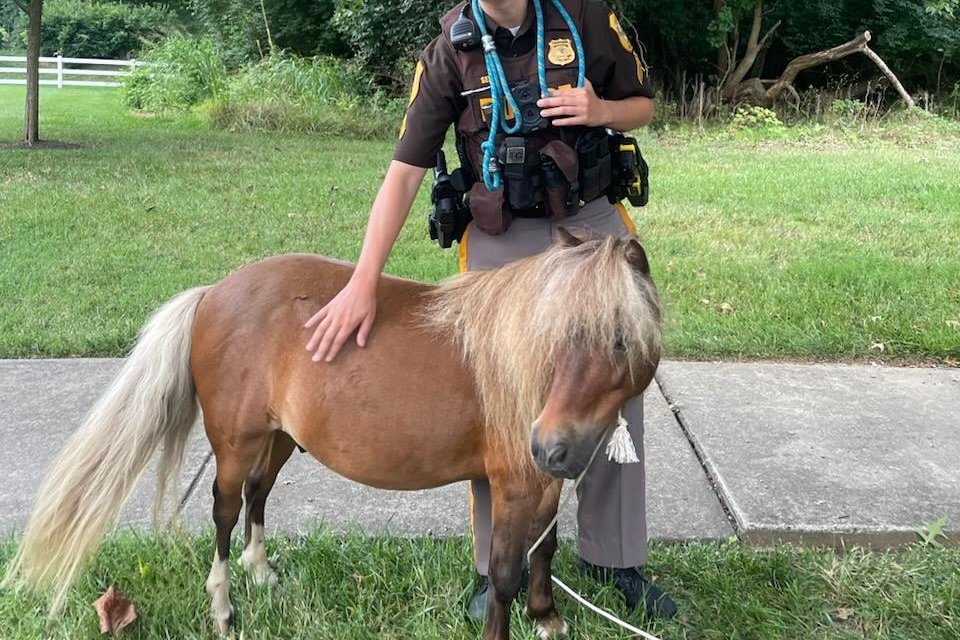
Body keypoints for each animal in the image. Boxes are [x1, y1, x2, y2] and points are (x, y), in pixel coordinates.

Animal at [3, 230, 660, 640]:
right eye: (555, 336)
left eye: (619, 340)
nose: (550, 445)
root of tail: (213, 292)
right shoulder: (513, 485)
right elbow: (502, 572)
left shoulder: (544, 486)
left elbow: (544, 548)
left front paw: (546, 616)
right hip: (235, 445)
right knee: (224, 512)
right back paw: (223, 610)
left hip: (279, 440)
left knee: (258, 495)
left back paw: (262, 573)